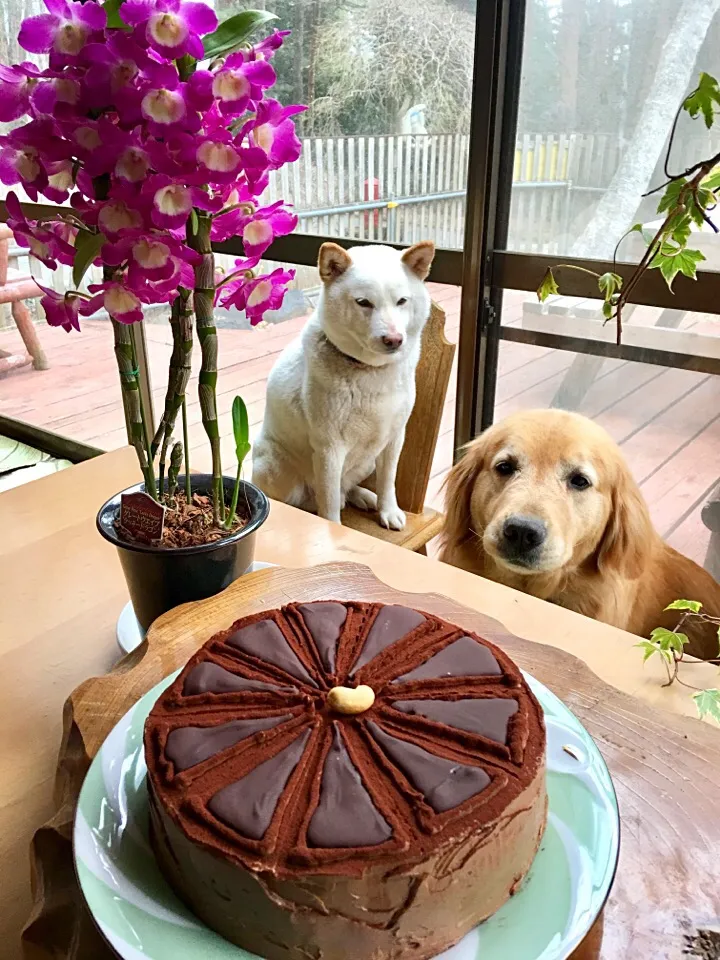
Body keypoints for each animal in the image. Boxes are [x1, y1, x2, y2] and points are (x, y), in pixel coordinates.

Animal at [252, 237, 434, 528]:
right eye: (363, 302)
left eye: (402, 301)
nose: (393, 340)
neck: (371, 371)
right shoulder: (329, 449)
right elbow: (328, 505)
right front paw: (331, 528)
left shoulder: (395, 437)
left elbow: (388, 480)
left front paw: (388, 510)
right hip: (278, 468)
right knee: (314, 499)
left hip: (367, 461)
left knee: (345, 488)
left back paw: (362, 496)